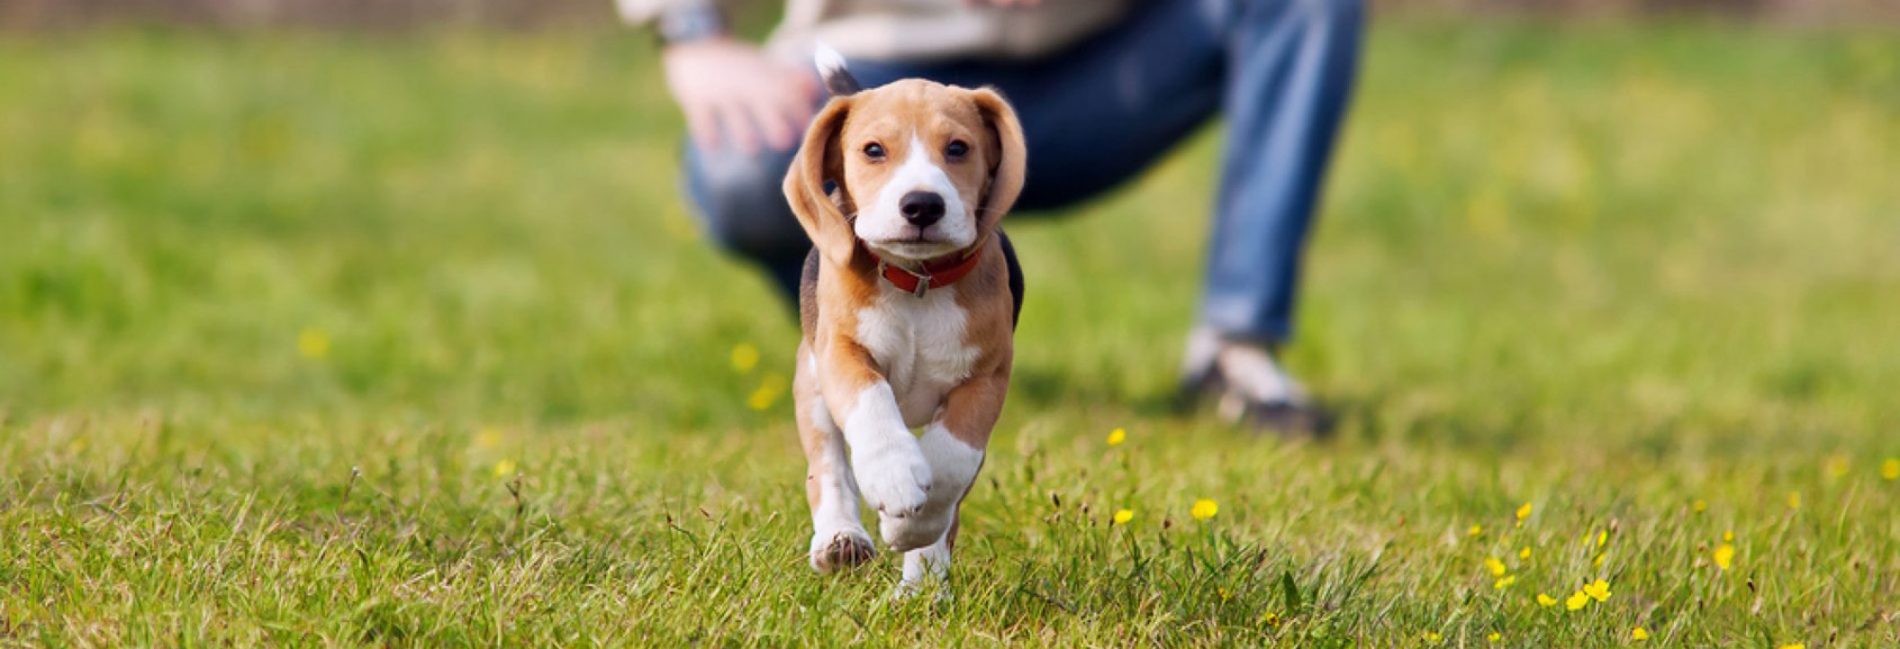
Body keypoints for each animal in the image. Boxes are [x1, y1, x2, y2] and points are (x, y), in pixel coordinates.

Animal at [782, 48, 1033, 592]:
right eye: (873, 150)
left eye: (958, 148)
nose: (921, 205)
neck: (918, 282)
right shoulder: (841, 353)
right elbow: (871, 403)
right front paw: (894, 474)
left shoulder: (986, 379)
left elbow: (951, 460)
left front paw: (911, 527)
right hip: (811, 383)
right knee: (828, 468)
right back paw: (841, 539)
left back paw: (922, 585)